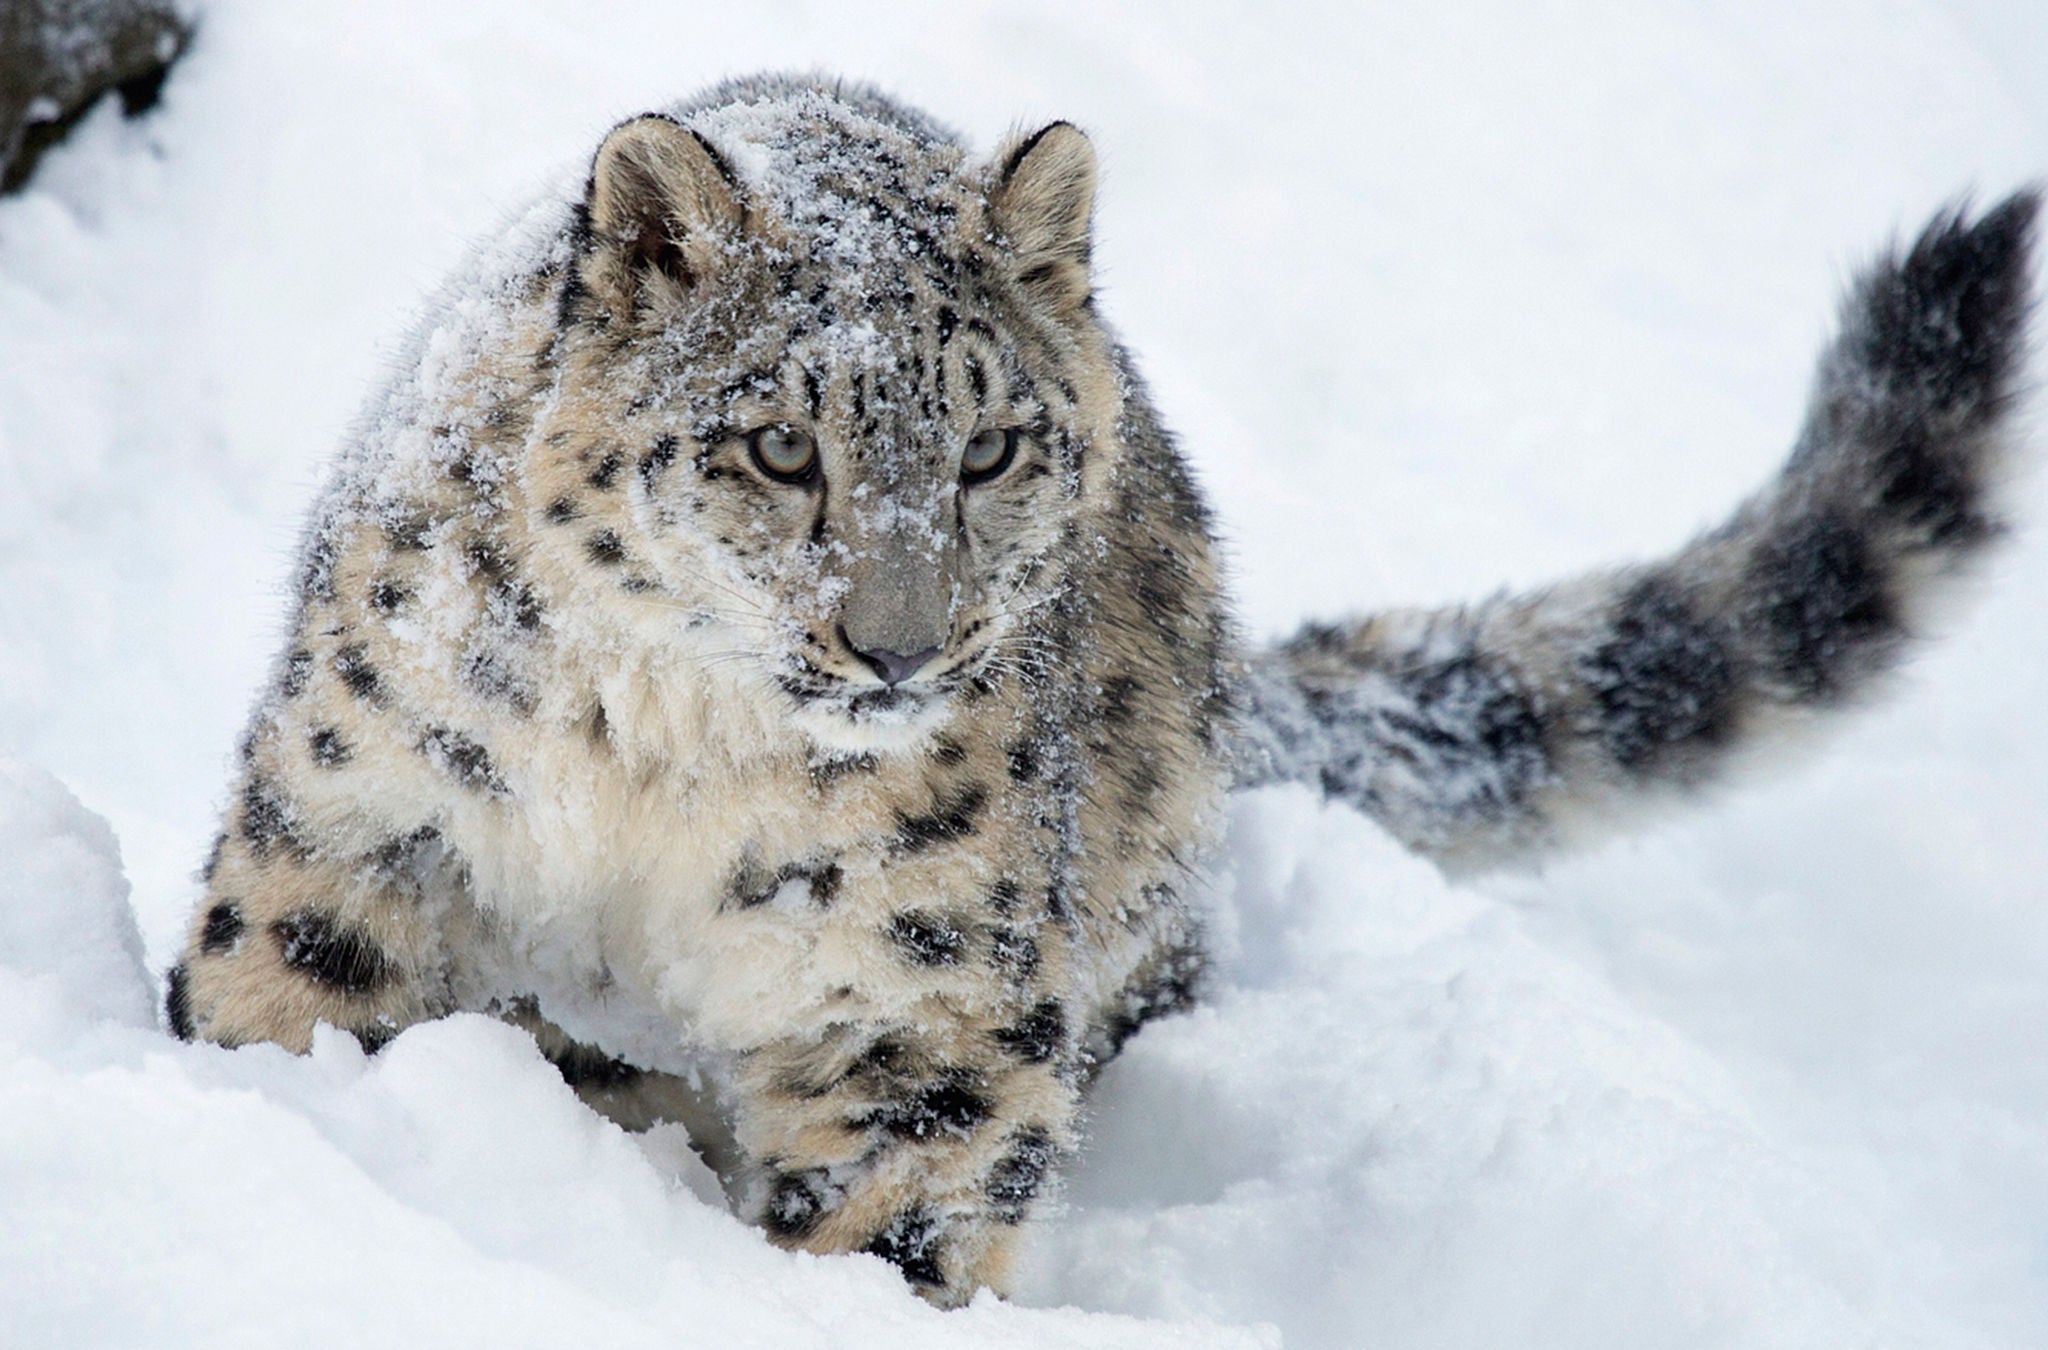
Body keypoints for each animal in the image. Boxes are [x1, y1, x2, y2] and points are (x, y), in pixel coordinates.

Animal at [167, 76, 2039, 1311]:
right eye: (778, 444)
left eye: (991, 445)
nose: (899, 645)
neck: (671, 777)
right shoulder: (361, 825)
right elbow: (280, 995)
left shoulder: (913, 994)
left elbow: (894, 1213)